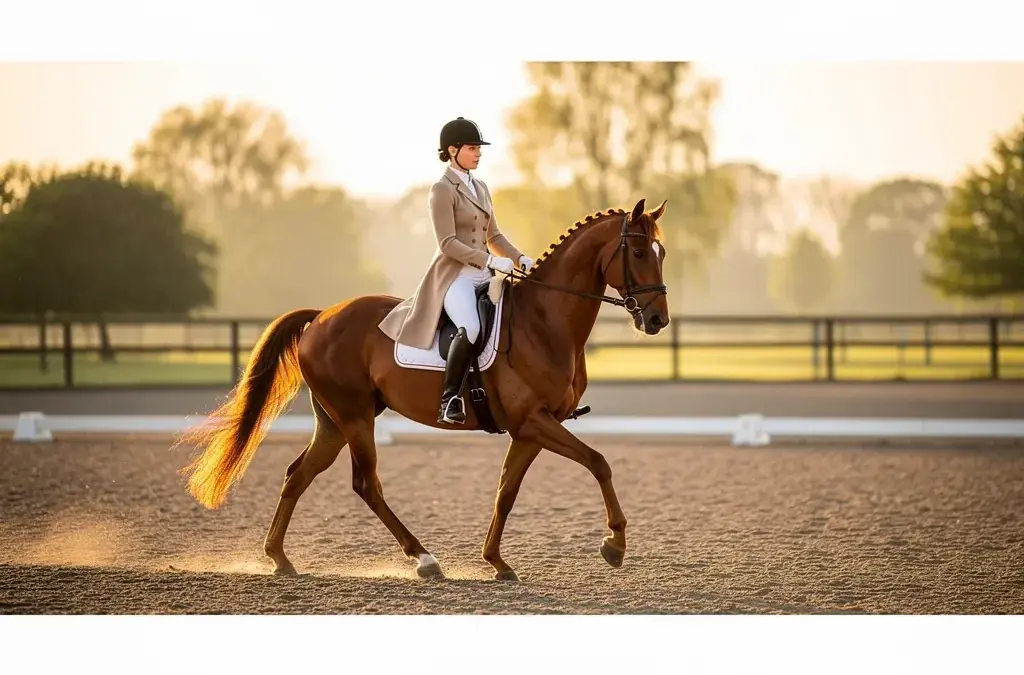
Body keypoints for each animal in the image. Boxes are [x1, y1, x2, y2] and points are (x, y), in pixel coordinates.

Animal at [176, 197, 671, 582]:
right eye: (639, 251)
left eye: (661, 251)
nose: (657, 320)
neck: (544, 321)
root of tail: (320, 317)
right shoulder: (534, 422)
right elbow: (599, 462)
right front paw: (614, 545)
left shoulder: (530, 429)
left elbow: (506, 492)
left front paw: (497, 562)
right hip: (354, 417)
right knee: (366, 484)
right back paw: (424, 559)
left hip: (334, 420)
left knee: (299, 474)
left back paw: (279, 558)